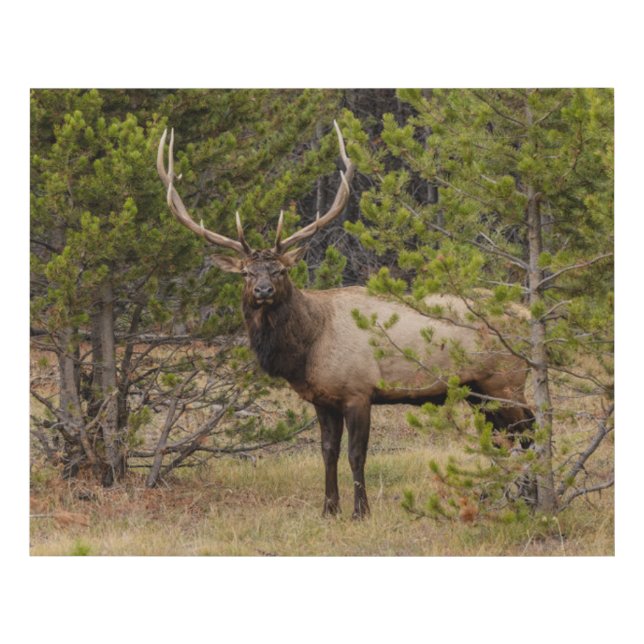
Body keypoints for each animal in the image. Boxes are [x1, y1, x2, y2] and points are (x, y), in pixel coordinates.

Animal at [157, 122, 535, 519]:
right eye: (246, 273)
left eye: (280, 270)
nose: (262, 290)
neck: (308, 348)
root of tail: (528, 313)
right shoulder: (322, 399)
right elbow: (328, 452)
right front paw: (329, 509)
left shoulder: (358, 391)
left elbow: (356, 455)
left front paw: (360, 511)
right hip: (478, 389)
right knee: (504, 437)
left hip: (506, 380)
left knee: (529, 431)